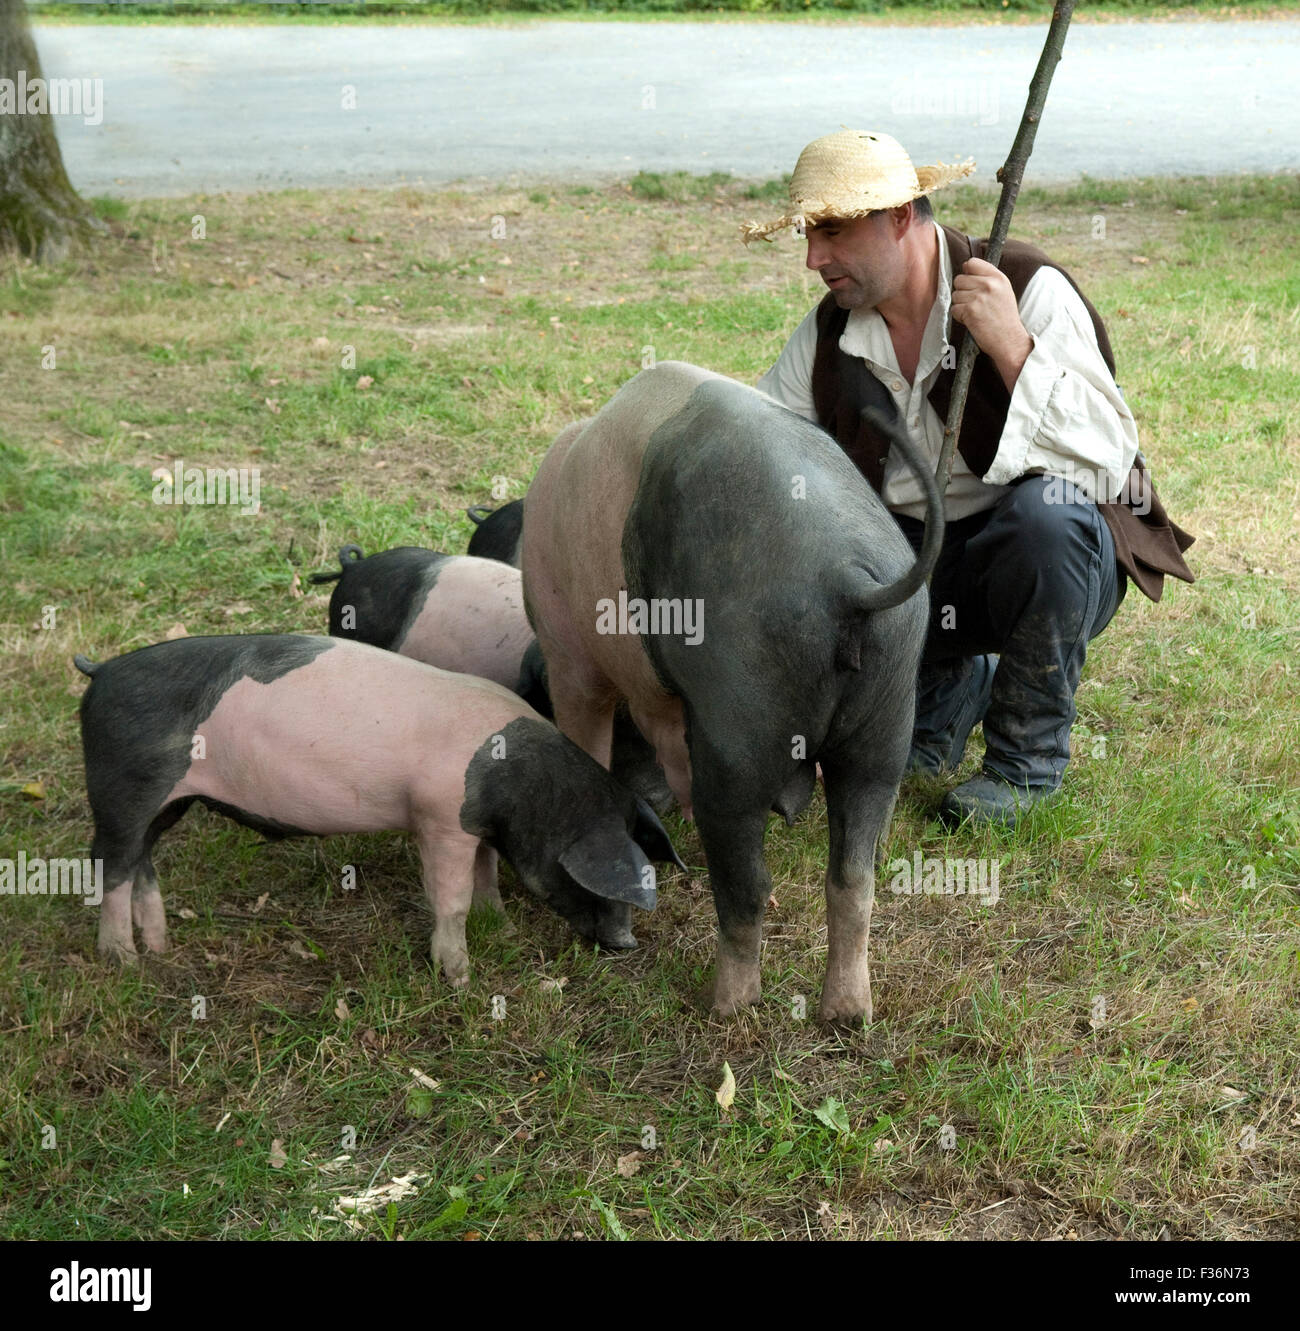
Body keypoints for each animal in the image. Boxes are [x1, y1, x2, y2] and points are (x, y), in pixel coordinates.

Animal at [73, 638, 678, 984]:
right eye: (592, 879)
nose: (627, 943)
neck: (524, 790)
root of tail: (101, 672)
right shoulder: (438, 819)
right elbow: (452, 898)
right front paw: (460, 978)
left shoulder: (474, 824)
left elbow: (486, 878)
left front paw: (502, 931)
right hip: (123, 788)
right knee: (111, 863)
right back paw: (122, 961)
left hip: (169, 803)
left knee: (142, 862)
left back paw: (158, 946)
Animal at [521, 362, 936, 1016]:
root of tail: (847, 576)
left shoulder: (572, 661)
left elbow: (588, 734)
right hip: (888, 717)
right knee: (853, 875)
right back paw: (846, 1016)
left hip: (738, 721)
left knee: (746, 880)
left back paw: (725, 1006)